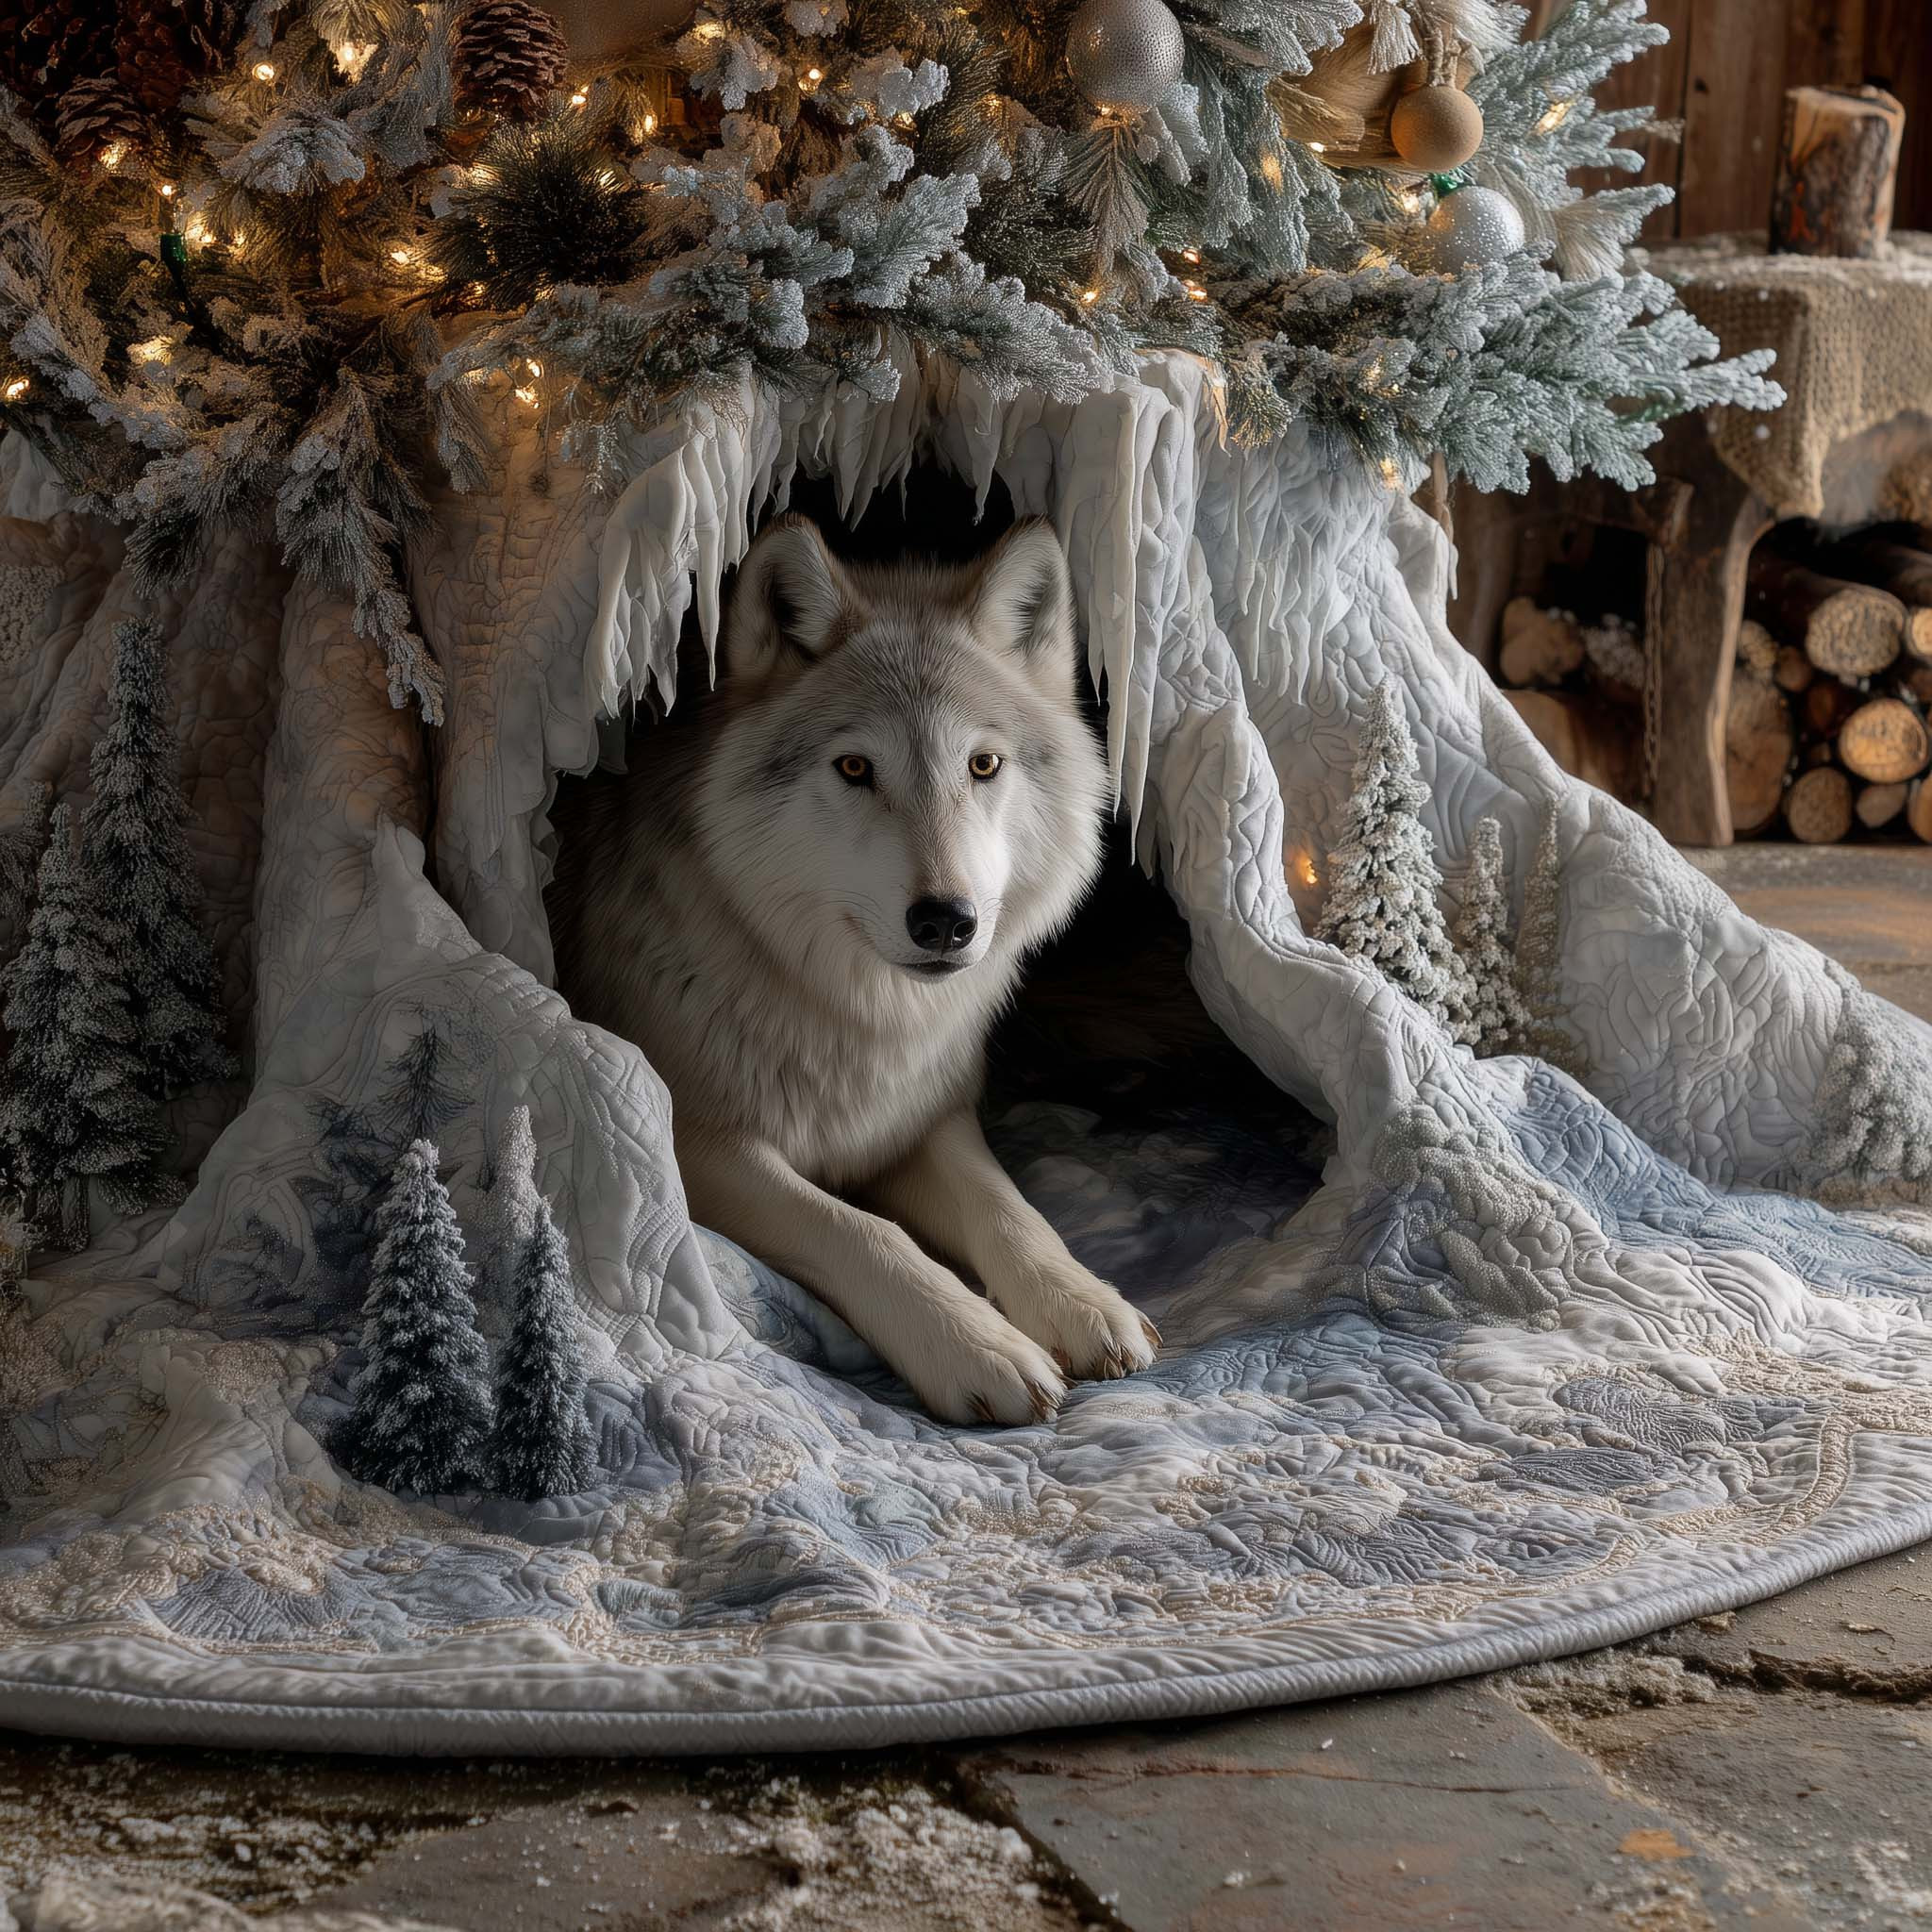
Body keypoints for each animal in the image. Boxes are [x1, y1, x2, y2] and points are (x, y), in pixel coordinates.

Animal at [549, 514, 1158, 1424]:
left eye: (983, 765)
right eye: (855, 768)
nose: (945, 921)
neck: (856, 1019)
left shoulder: (926, 1120)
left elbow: (1012, 1210)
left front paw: (1083, 1302)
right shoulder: (697, 1144)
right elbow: (864, 1230)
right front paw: (978, 1346)